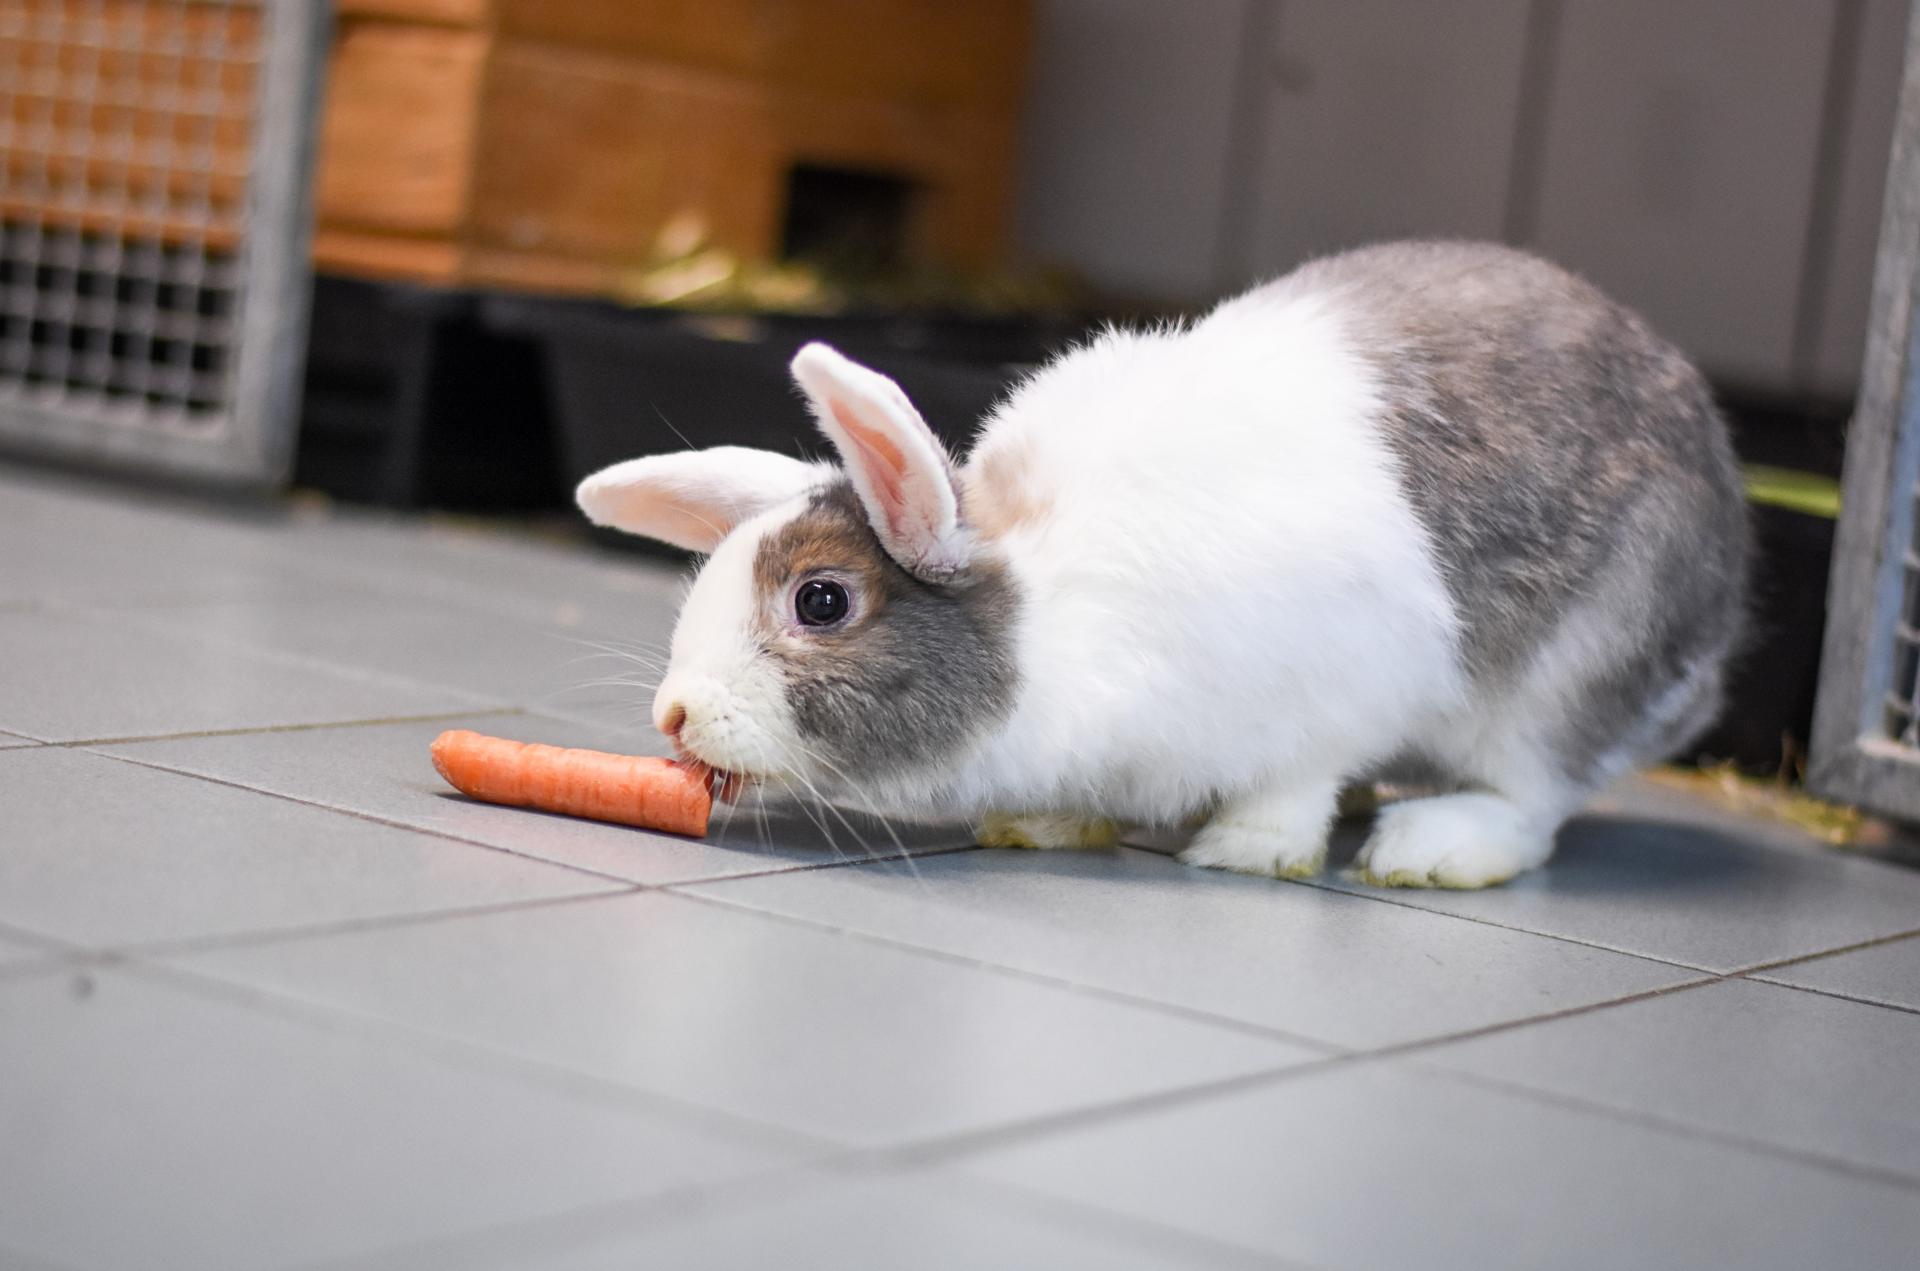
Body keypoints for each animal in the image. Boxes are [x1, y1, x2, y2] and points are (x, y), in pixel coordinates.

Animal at [576, 243, 1751, 890]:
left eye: (822, 600)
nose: (675, 714)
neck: (1050, 618)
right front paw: (1044, 825)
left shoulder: (1334, 690)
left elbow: (1296, 783)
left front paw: (1248, 849)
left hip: (1567, 676)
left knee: (1537, 799)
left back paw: (1427, 846)